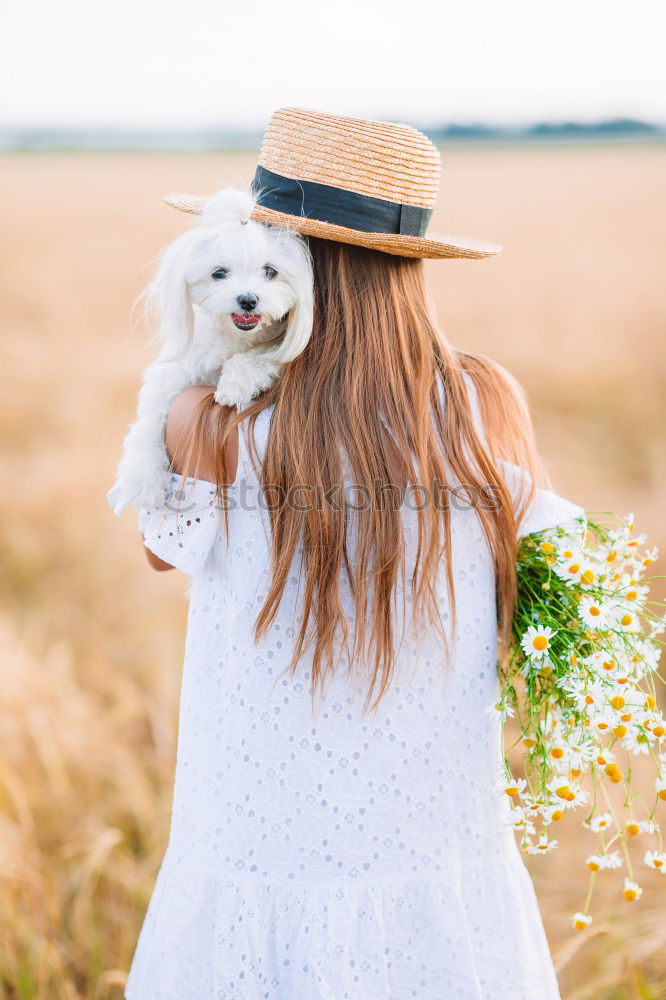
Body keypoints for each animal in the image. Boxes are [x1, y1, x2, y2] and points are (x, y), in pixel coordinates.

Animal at [107, 188, 314, 516]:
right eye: (219, 273)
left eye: (270, 271)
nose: (247, 299)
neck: (234, 337)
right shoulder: (175, 373)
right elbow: (148, 419)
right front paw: (141, 479)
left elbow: (261, 356)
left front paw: (234, 383)